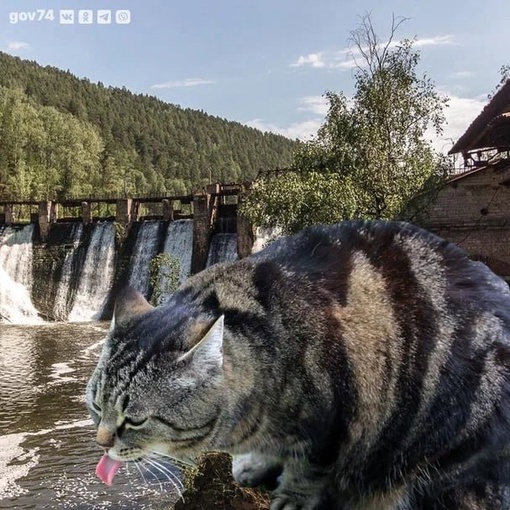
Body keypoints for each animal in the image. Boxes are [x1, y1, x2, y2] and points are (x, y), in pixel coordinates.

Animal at [85, 221, 510, 508]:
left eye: (135, 420)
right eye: (96, 406)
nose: (101, 442)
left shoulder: (336, 416)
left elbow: (309, 467)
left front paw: (292, 495)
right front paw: (255, 464)